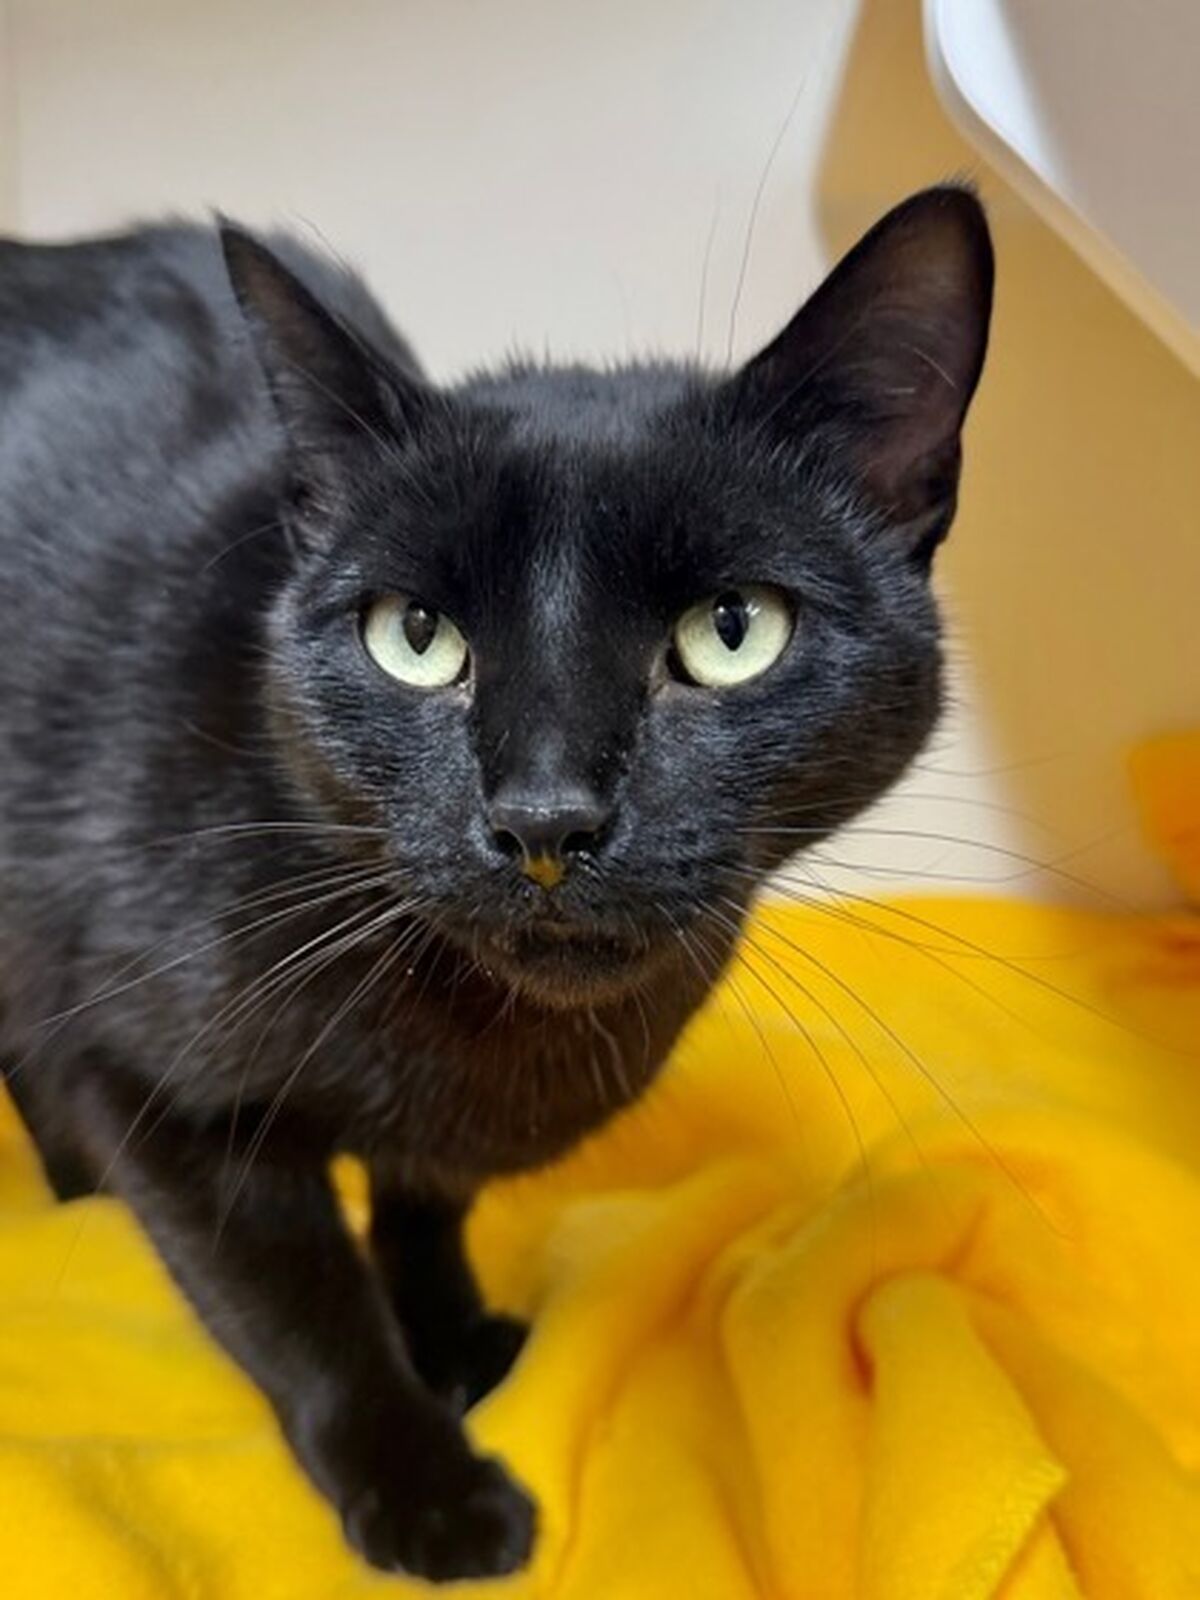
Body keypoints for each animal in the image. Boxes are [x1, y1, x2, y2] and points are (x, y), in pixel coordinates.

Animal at [0, 185, 992, 1581]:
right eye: (415, 637)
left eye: (731, 631)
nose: (544, 815)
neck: (490, 1036)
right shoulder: (161, 1092)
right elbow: (304, 1311)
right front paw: (424, 1487)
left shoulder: (439, 1141)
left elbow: (426, 1206)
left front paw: (455, 1338)